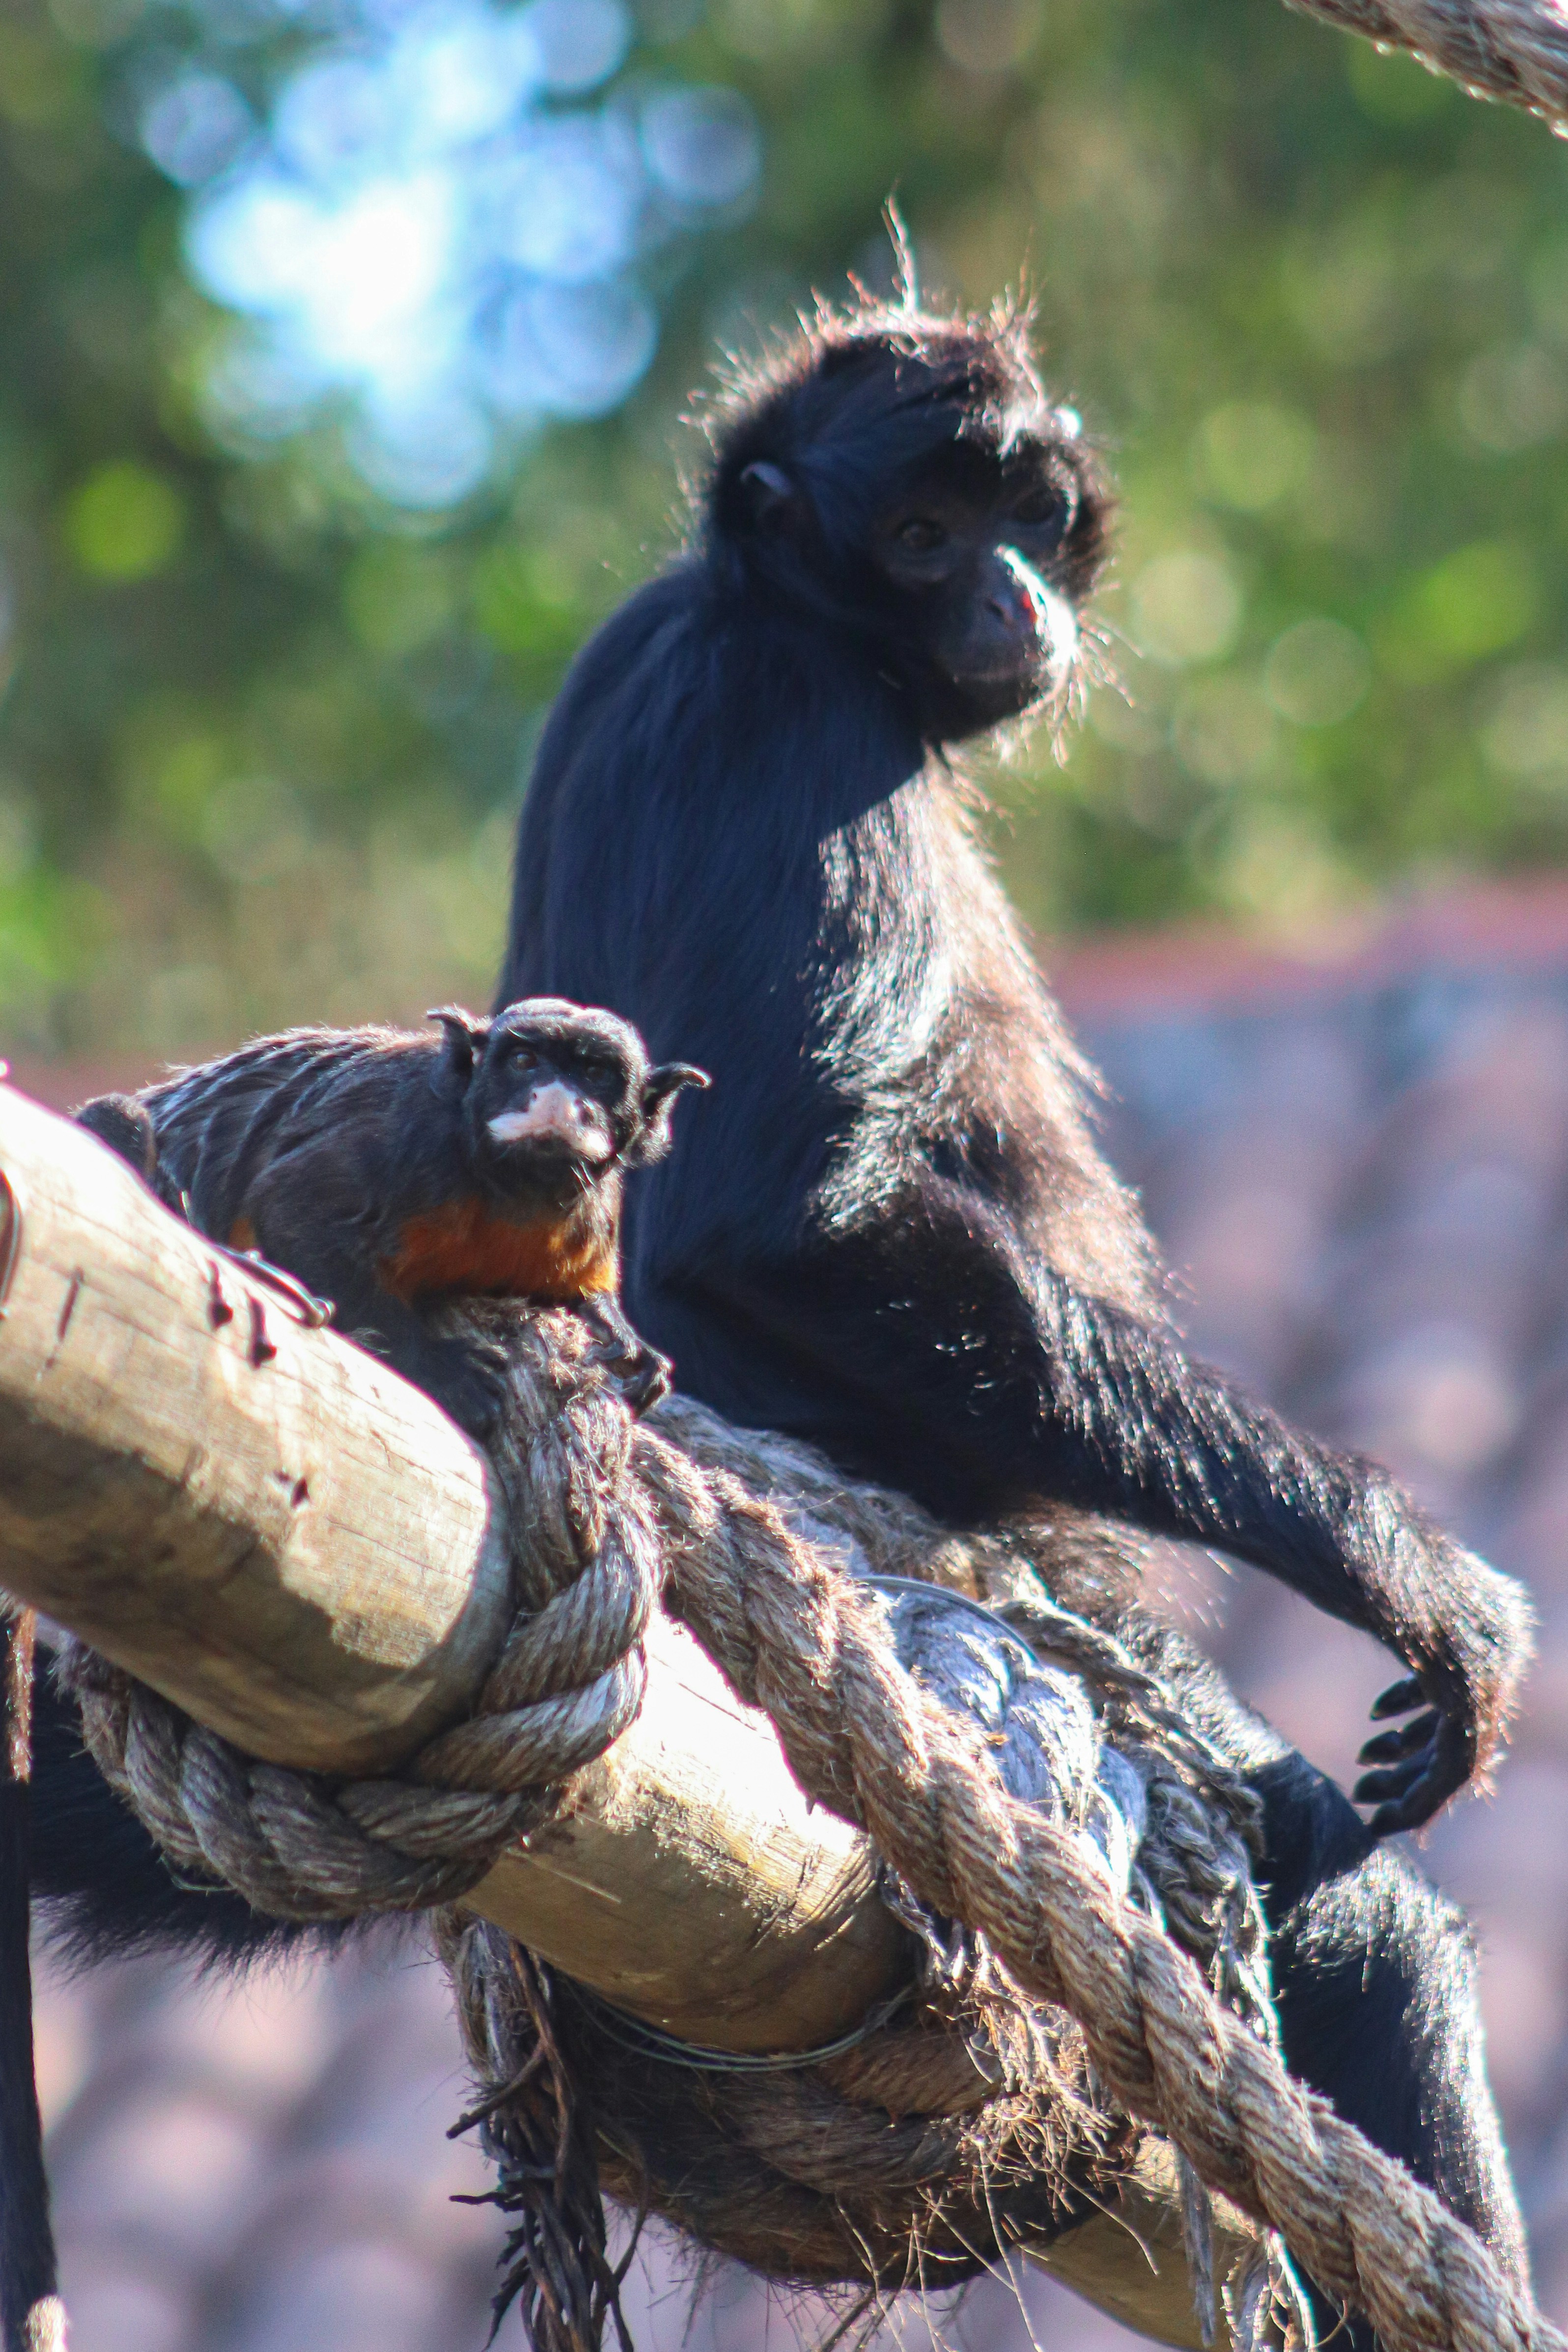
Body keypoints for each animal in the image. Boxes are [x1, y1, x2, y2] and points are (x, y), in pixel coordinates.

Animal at [492, 287, 1535, 2326]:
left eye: (1021, 518)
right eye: (918, 538)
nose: (1008, 594)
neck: (758, 608)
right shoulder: (799, 732)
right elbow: (787, 1220)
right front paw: (1399, 1562)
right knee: (1366, 1930)